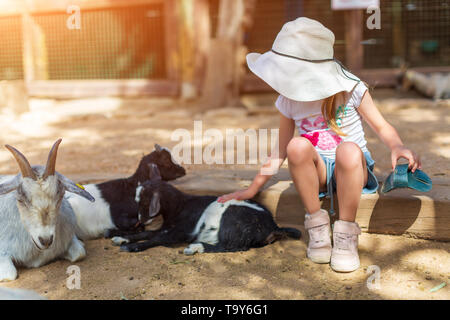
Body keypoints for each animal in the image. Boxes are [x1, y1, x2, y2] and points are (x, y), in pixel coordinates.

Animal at [111, 165, 302, 252]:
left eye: (144, 202)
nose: (139, 220)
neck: (180, 207)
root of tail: (274, 227)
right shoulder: (166, 227)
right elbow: (148, 233)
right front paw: (121, 238)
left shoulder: (182, 231)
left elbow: (157, 239)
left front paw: (131, 247)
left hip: (232, 224)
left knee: (230, 247)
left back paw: (196, 247)